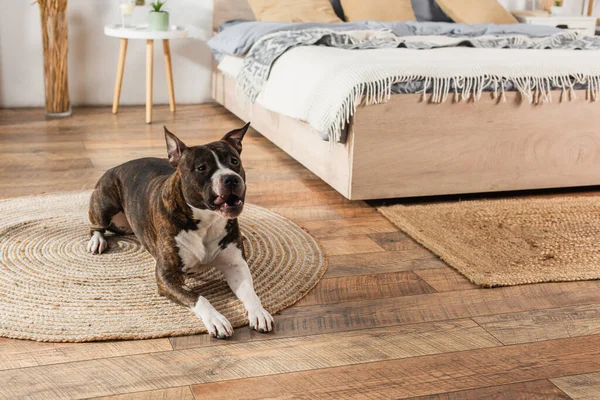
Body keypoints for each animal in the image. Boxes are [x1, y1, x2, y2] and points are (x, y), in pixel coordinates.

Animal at [85, 123, 274, 340]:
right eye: (201, 168)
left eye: (234, 161)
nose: (231, 179)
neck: (206, 220)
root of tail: (117, 166)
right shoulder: (167, 276)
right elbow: (197, 296)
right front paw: (216, 319)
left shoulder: (236, 265)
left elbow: (250, 292)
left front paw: (259, 312)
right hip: (105, 202)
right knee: (96, 225)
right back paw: (96, 241)